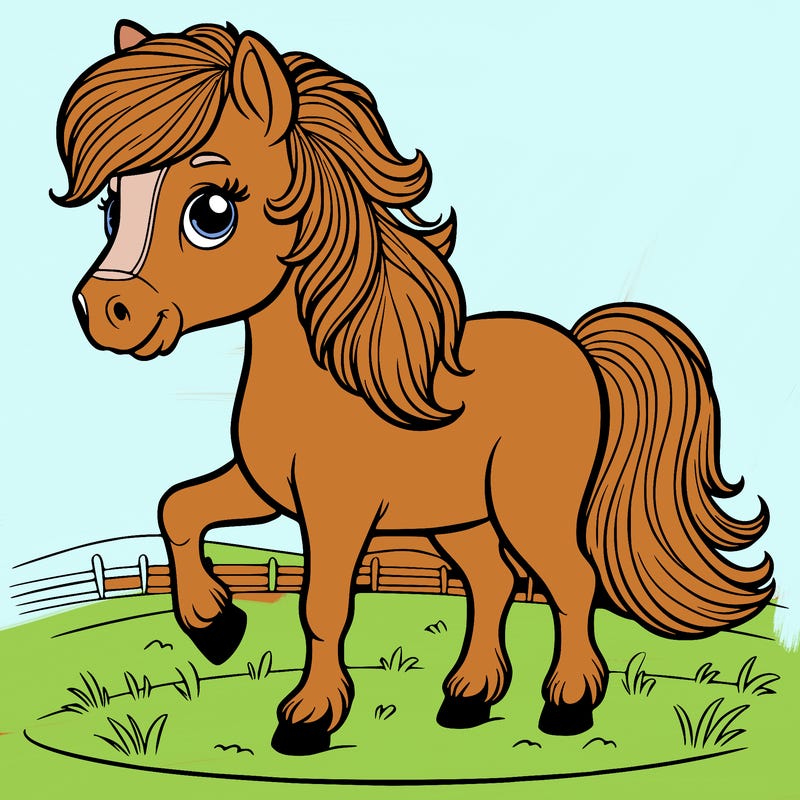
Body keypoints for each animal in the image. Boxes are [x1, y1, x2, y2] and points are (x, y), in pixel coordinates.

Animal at [53, 20, 773, 756]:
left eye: (212, 212)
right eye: (112, 206)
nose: (106, 311)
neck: (326, 377)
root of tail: (579, 349)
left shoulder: (336, 511)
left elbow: (323, 605)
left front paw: (306, 719)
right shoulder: (264, 488)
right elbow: (179, 508)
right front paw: (216, 627)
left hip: (528, 506)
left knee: (571, 581)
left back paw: (568, 704)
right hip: (460, 516)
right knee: (493, 580)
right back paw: (468, 698)